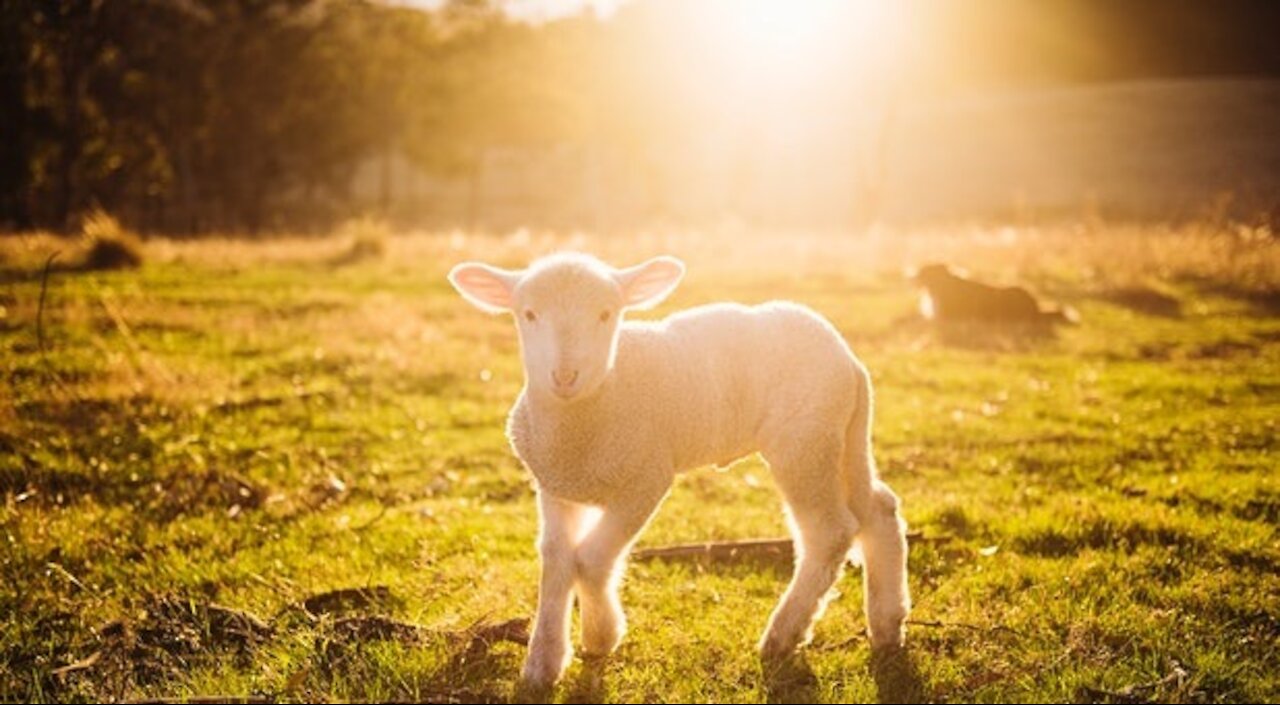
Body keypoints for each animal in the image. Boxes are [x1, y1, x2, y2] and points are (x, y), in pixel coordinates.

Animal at [447, 252, 910, 689]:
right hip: (843, 437)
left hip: (804, 442)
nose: (564, 376)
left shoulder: (645, 480)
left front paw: (600, 635)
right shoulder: (555, 486)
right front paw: (543, 663)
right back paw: (888, 624)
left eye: (606, 314)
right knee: (878, 509)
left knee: (829, 532)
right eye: (528, 314)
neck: (589, 412)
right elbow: (557, 560)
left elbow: (591, 559)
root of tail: (848, 358)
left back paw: (783, 635)